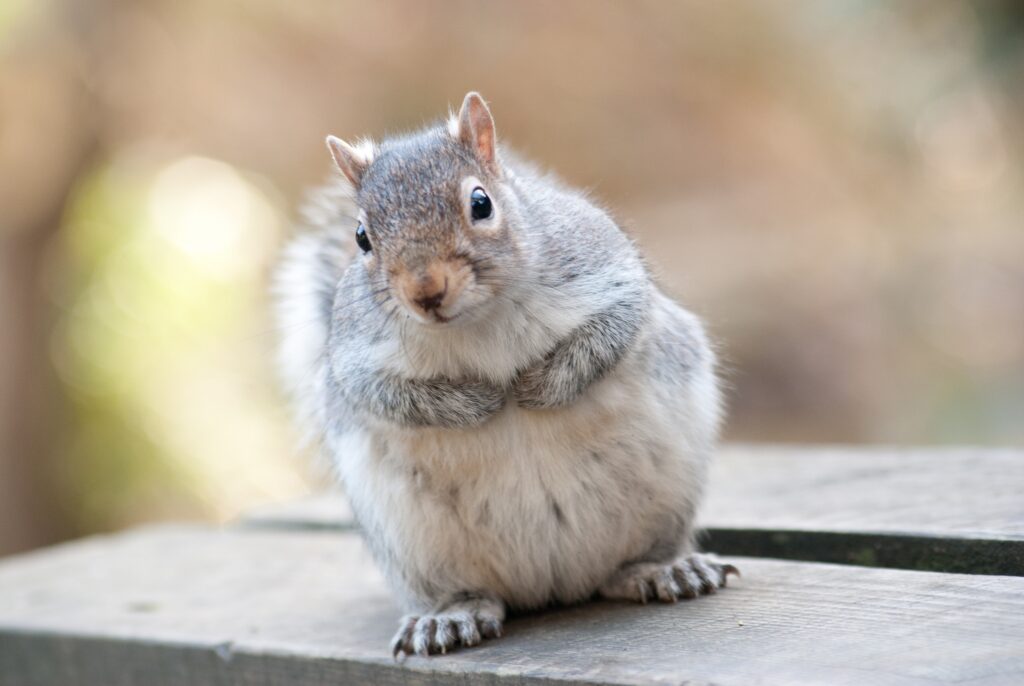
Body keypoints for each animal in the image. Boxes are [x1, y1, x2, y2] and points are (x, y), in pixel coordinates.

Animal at [274, 92, 737, 658]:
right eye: (361, 237)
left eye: (481, 203)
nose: (425, 291)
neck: (477, 320)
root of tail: (556, 584)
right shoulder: (352, 355)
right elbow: (383, 393)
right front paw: (476, 403)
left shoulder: (607, 268)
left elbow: (614, 325)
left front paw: (540, 386)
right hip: (413, 545)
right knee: (466, 592)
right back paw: (449, 617)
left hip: (667, 495)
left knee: (632, 562)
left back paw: (663, 569)